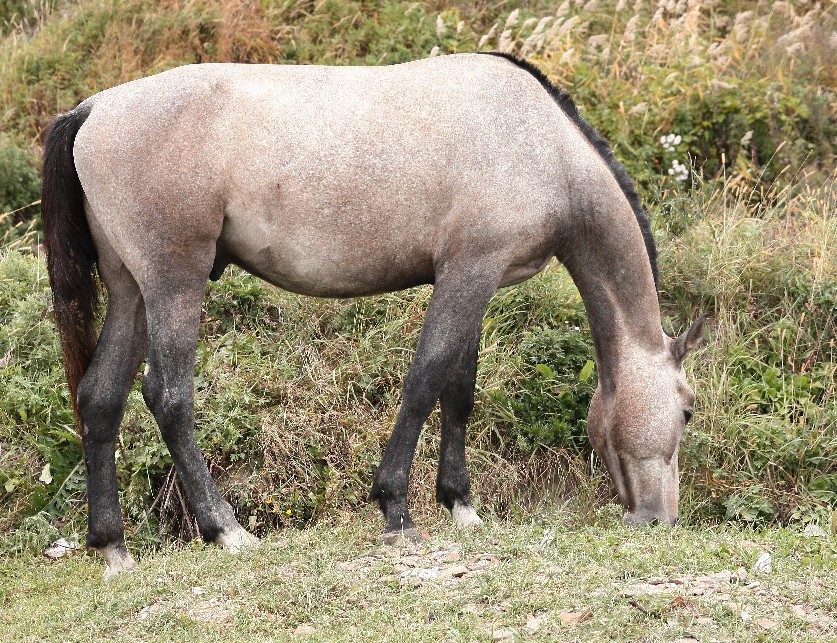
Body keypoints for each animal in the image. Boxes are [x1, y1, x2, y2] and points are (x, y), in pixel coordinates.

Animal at [40, 52, 704, 580]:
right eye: (688, 411)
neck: (540, 144)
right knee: (168, 396)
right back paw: (225, 529)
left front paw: (460, 505)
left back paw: (113, 546)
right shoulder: (469, 272)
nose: (662, 519)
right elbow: (426, 379)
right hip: (174, 283)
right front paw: (396, 510)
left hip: (130, 291)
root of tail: (95, 108)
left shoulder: (473, 279)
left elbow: (458, 390)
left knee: (101, 397)